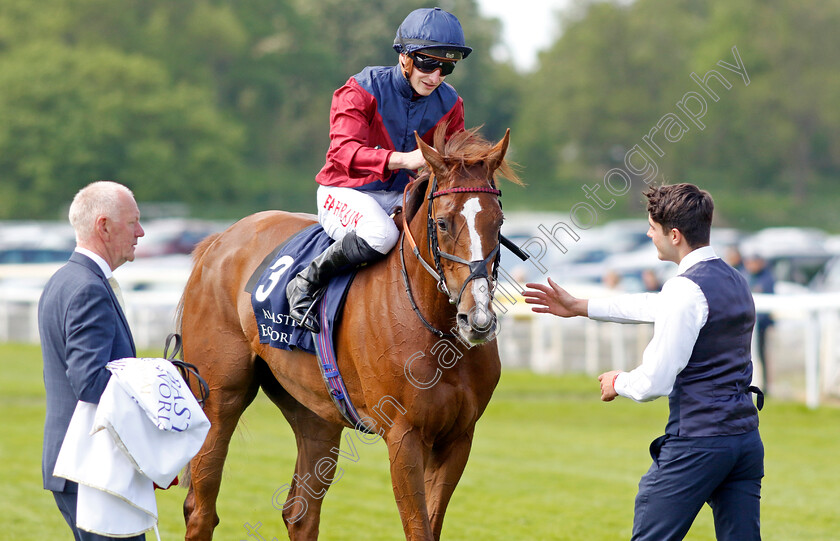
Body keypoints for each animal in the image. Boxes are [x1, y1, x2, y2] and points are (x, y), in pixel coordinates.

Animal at [179, 126, 520, 540]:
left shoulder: (457, 437)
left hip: (315, 412)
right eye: (442, 222)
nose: (477, 318)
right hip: (218, 397)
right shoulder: (404, 435)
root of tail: (217, 240)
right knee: (201, 508)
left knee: (300, 513)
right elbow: (418, 528)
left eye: (498, 223)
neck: (438, 333)